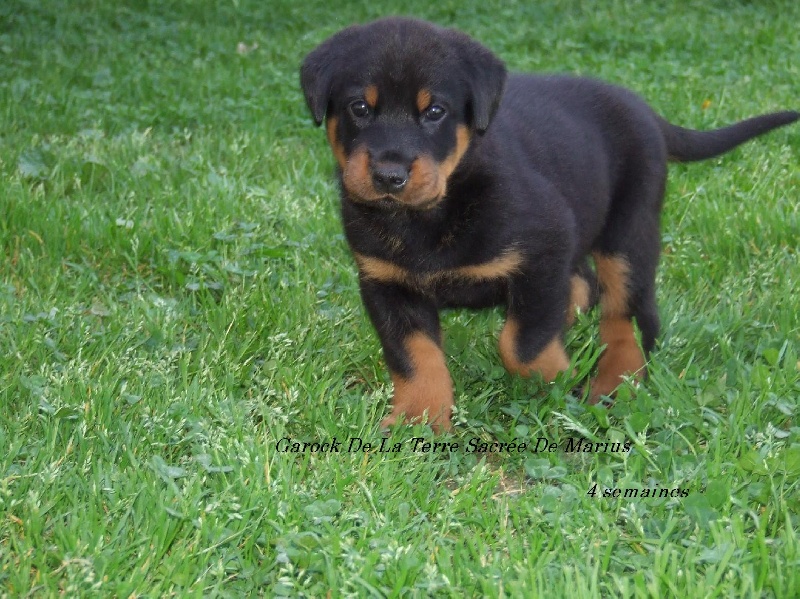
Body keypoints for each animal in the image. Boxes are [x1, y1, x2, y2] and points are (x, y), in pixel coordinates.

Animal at [298, 17, 792, 432]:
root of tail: (645, 111)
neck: (428, 215)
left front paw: (561, 378)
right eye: (359, 107)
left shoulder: (546, 245)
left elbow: (521, 342)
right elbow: (414, 355)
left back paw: (613, 381)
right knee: (588, 286)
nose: (389, 175)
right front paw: (418, 418)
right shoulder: (385, 281)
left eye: (435, 111)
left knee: (629, 313)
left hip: (628, 232)